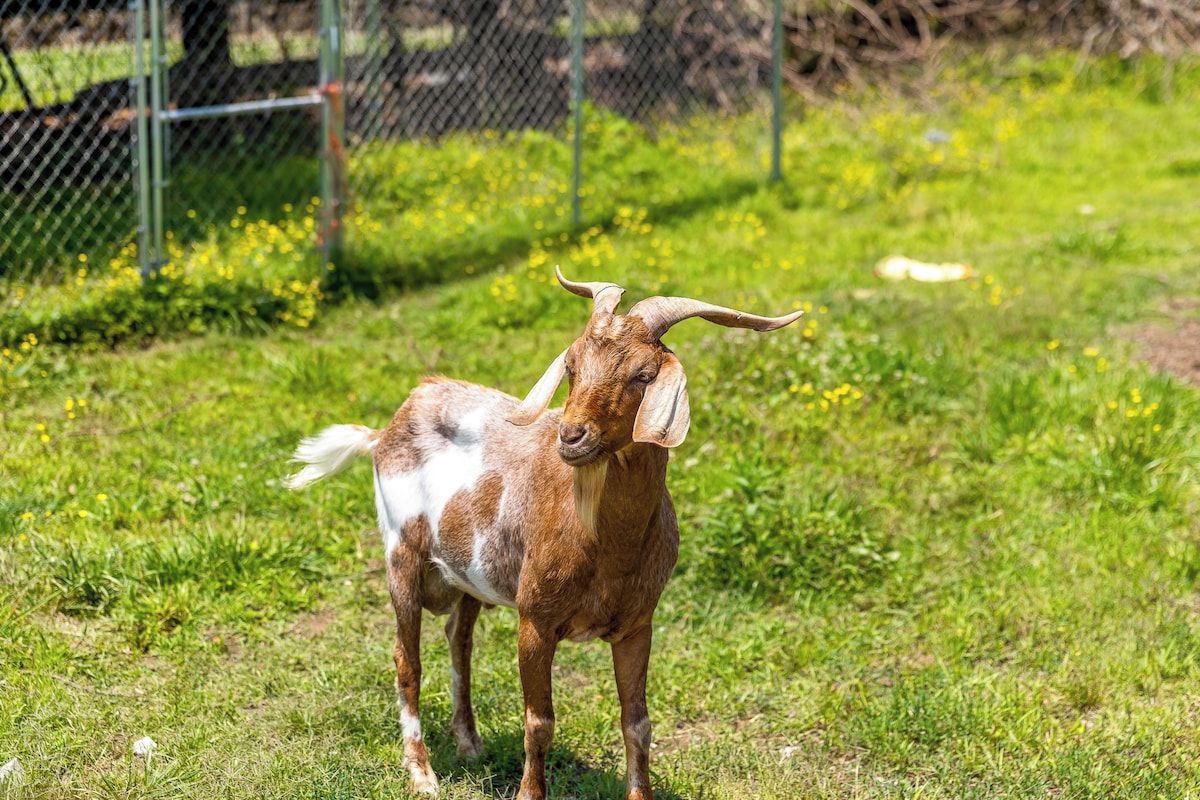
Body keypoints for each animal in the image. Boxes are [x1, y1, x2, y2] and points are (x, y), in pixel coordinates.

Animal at [286, 267, 802, 799]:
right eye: (571, 366)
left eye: (643, 375)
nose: (571, 436)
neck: (607, 547)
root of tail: (387, 428)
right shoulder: (535, 619)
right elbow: (539, 722)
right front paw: (529, 791)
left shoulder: (638, 624)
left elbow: (637, 724)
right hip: (401, 552)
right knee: (406, 661)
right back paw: (422, 773)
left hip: (467, 577)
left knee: (458, 643)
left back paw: (469, 744)